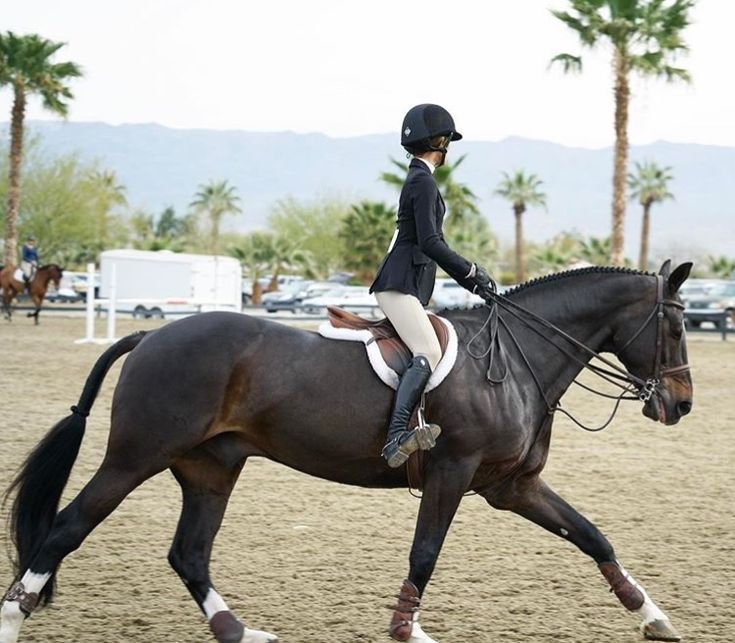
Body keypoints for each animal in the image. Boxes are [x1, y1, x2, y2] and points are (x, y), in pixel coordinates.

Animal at [0, 262, 692, 643]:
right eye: (677, 324)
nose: (681, 405)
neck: (517, 358)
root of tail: (148, 335)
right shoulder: (453, 471)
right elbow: (424, 554)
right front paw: (408, 631)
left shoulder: (510, 486)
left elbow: (593, 536)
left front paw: (653, 617)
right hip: (136, 457)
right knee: (66, 528)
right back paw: (13, 620)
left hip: (210, 467)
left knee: (188, 553)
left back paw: (240, 632)